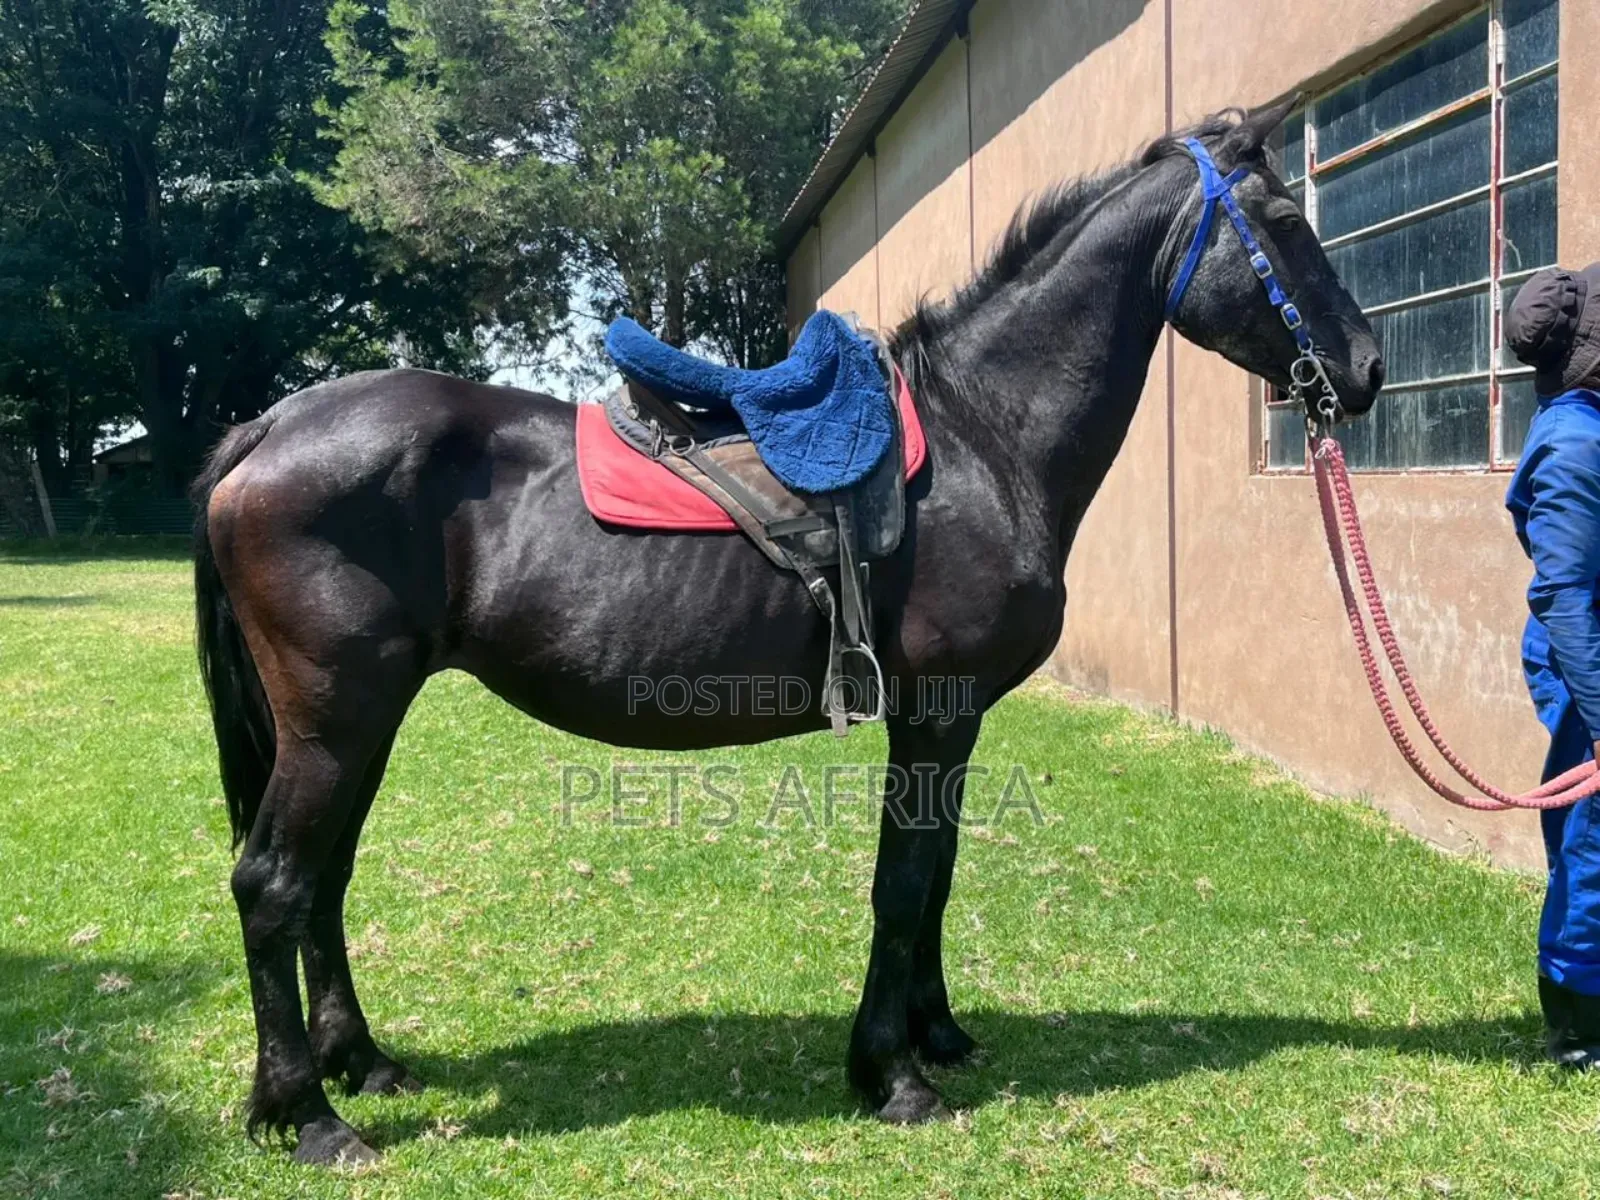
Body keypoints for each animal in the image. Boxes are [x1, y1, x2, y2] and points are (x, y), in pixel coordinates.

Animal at [192, 97, 1383, 1165]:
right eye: (1284, 218)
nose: (1366, 368)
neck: (983, 438)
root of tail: (273, 425)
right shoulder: (935, 713)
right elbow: (903, 883)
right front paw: (891, 1076)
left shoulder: (949, 723)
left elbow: (938, 871)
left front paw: (937, 1034)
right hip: (338, 719)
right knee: (273, 884)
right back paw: (309, 1117)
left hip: (355, 723)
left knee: (324, 879)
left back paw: (362, 1063)